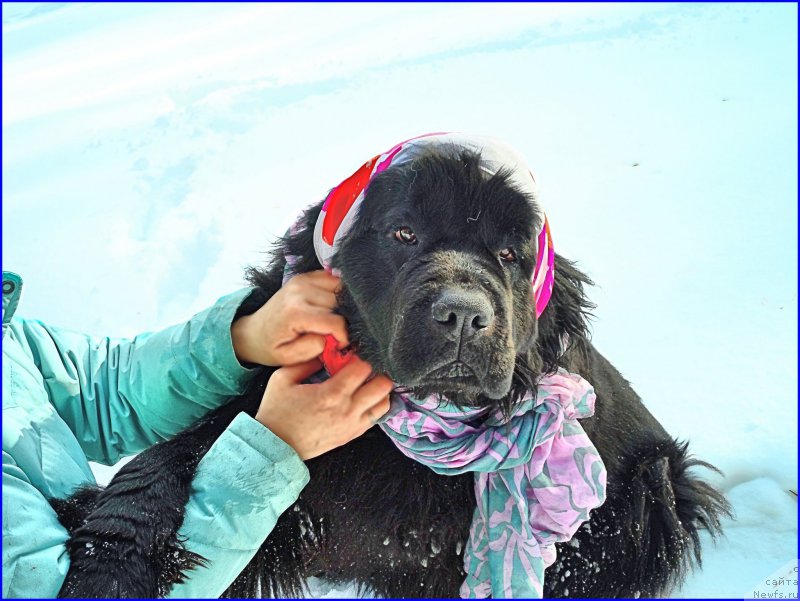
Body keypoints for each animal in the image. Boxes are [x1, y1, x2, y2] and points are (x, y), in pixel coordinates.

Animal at [51, 137, 732, 600]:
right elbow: (161, 464)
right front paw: (108, 562)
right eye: (404, 233)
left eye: (510, 254)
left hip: (655, 489)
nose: (463, 314)